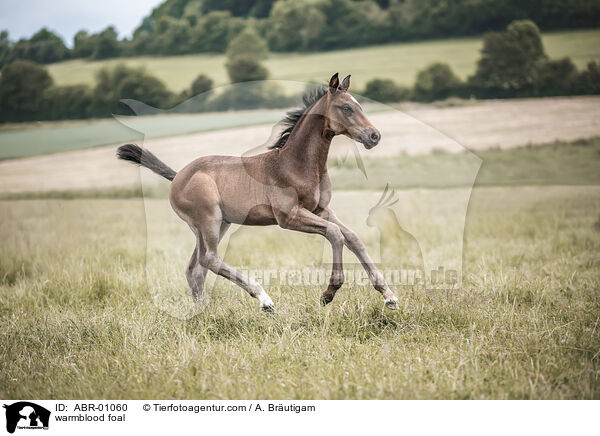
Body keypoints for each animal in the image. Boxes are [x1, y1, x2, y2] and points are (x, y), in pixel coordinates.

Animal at [117, 75, 398, 312]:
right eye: (346, 108)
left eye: (359, 105)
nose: (374, 136)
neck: (295, 164)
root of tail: (178, 177)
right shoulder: (289, 217)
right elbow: (335, 234)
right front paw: (329, 292)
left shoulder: (320, 209)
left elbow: (353, 237)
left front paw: (389, 296)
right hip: (208, 220)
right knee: (210, 260)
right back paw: (264, 299)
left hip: (217, 225)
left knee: (194, 268)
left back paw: (203, 314)